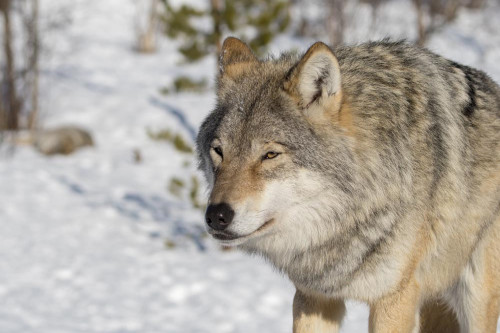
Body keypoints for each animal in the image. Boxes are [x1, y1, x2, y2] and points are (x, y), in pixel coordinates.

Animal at [196, 37, 500, 330]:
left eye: (270, 155)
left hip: (475, 295)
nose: (216, 216)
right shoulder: (313, 297)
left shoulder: (393, 300)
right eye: (219, 151)